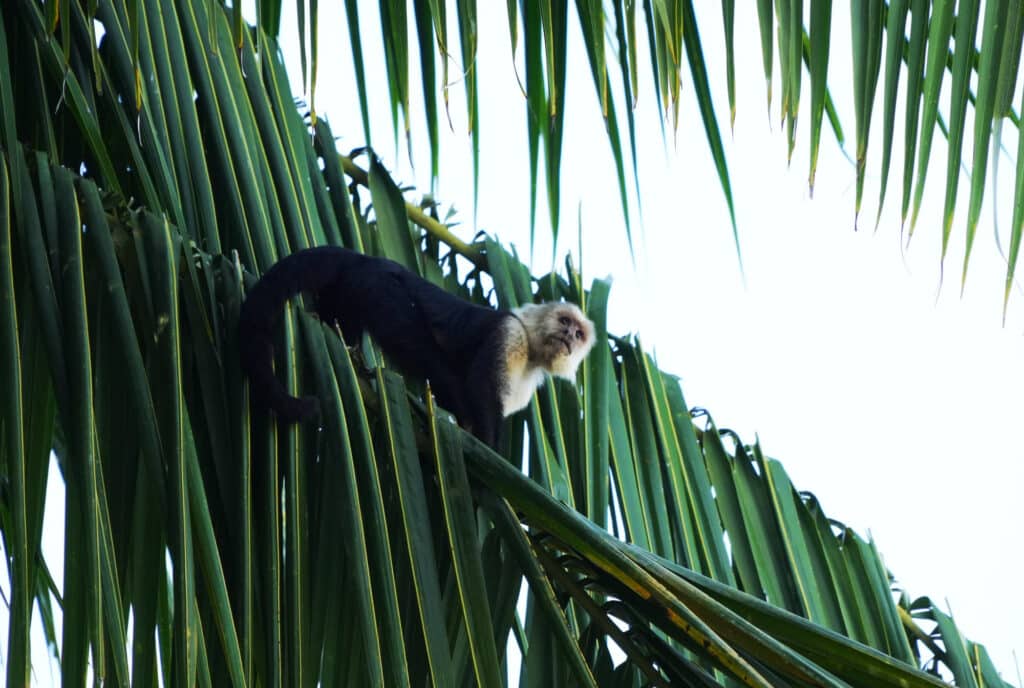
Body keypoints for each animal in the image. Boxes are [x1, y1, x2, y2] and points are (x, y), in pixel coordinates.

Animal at [238, 246, 596, 447]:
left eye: (579, 334)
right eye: (564, 321)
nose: (569, 336)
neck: (532, 349)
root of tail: (366, 259)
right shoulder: (509, 333)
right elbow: (481, 389)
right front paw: (485, 444)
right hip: (379, 288)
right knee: (422, 351)